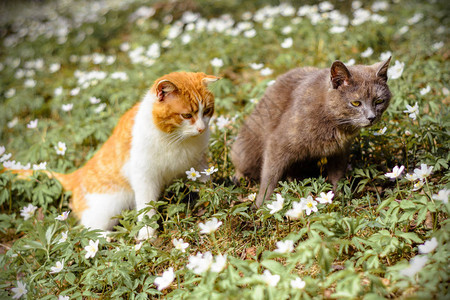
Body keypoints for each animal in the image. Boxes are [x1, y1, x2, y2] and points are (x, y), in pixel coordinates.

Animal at [11, 71, 220, 240]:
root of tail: (77, 174)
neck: (176, 139)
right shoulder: (144, 177)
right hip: (108, 208)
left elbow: (206, 183)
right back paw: (108, 237)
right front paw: (147, 234)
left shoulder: (199, 163)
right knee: (85, 229)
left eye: (207, 111)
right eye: (187, 115)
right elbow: (146, 208)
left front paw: (213, 199)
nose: (201, 128)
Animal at [232, 57, 390, 207]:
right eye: (356, 103)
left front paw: (337, 198)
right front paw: (262, 204)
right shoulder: (278, 142)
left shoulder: (340, 151)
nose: (372, 117)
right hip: (248, 151)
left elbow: (337, 176)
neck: (333, 121)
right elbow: (270, 176)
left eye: (379, 101)